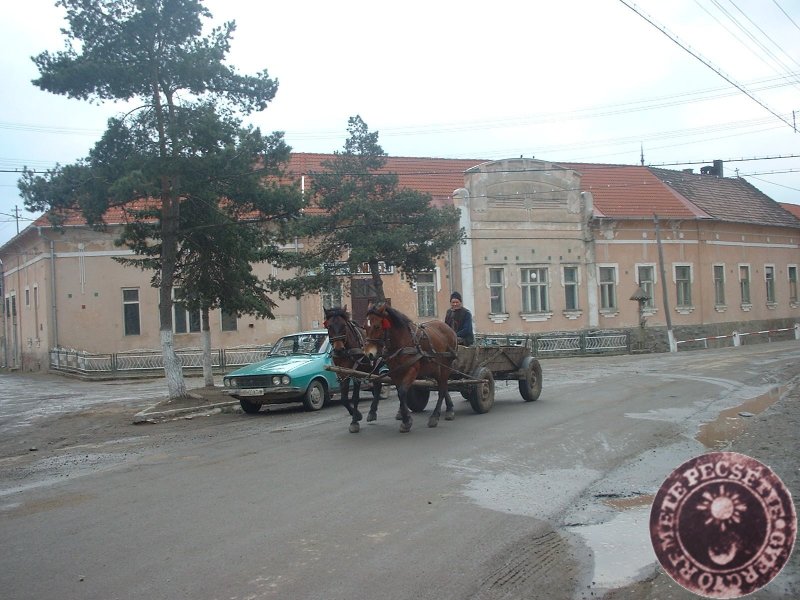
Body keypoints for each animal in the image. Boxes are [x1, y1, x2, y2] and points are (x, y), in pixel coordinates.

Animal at [362, 302, 456, 434]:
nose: (369, 354)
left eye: (377, 326)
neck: (402, 342)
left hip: (445, 367)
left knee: (442, 390)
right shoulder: (395, 373)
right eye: (364, 327)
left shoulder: (412, 370)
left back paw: (434, 416)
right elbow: (400, 393)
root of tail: (448, 328)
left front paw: (406, 421)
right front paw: (404, 416)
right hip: (436, 369)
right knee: (444, 387)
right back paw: (449, 410)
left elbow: (402, 392)